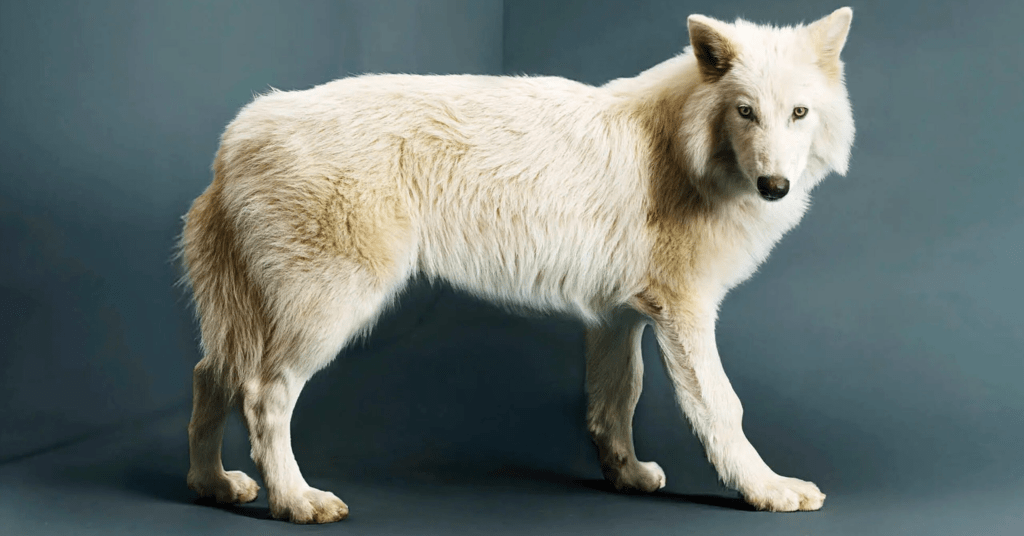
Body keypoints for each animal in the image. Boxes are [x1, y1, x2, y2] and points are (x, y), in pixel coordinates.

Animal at [179, 8, 854, 523]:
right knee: (262, 394)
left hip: (253, 318)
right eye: (745, 111)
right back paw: (296, 501)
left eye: (798, 113)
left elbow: (617, 401)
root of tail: (237, 134)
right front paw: (768, 490)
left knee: (209, 375)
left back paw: (213, 486)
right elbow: (723, 407)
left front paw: (628, 476)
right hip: (328, 312)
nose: (774, 186)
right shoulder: (684, 313)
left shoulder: (618, 319)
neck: (682, 150)